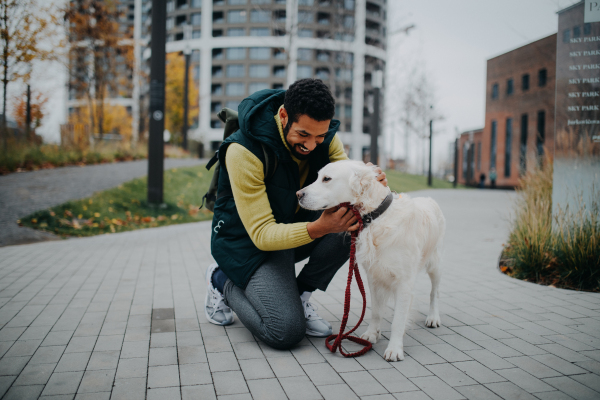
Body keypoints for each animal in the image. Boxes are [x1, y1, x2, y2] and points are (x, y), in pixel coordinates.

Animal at [298, 160, 442, 362]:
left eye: (327, 179)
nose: (298, 195)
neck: (376, 218)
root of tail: (429, 199)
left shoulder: (404, 282)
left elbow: (398, 320)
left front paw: (394, 349)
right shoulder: (374, 277)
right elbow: (375, 311)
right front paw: (372, 334)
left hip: (434, 263)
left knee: (434, 292)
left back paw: (433, 317)